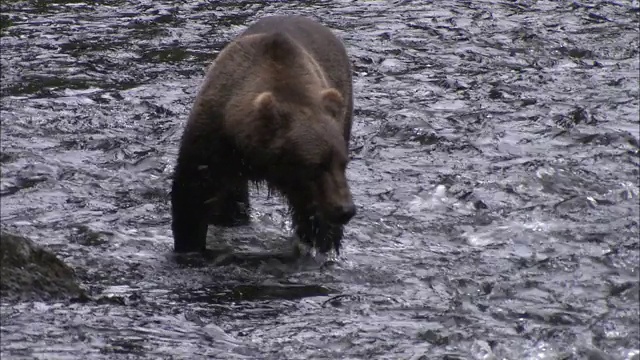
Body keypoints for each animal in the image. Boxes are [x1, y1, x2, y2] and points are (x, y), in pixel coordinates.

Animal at [171, 14, 356, 256]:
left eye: (343, 163)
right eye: (316, 165)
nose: (345, 209)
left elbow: (315, 218)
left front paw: (322, 241)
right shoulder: (213, 138)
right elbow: (193, 197)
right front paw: (189, 245)